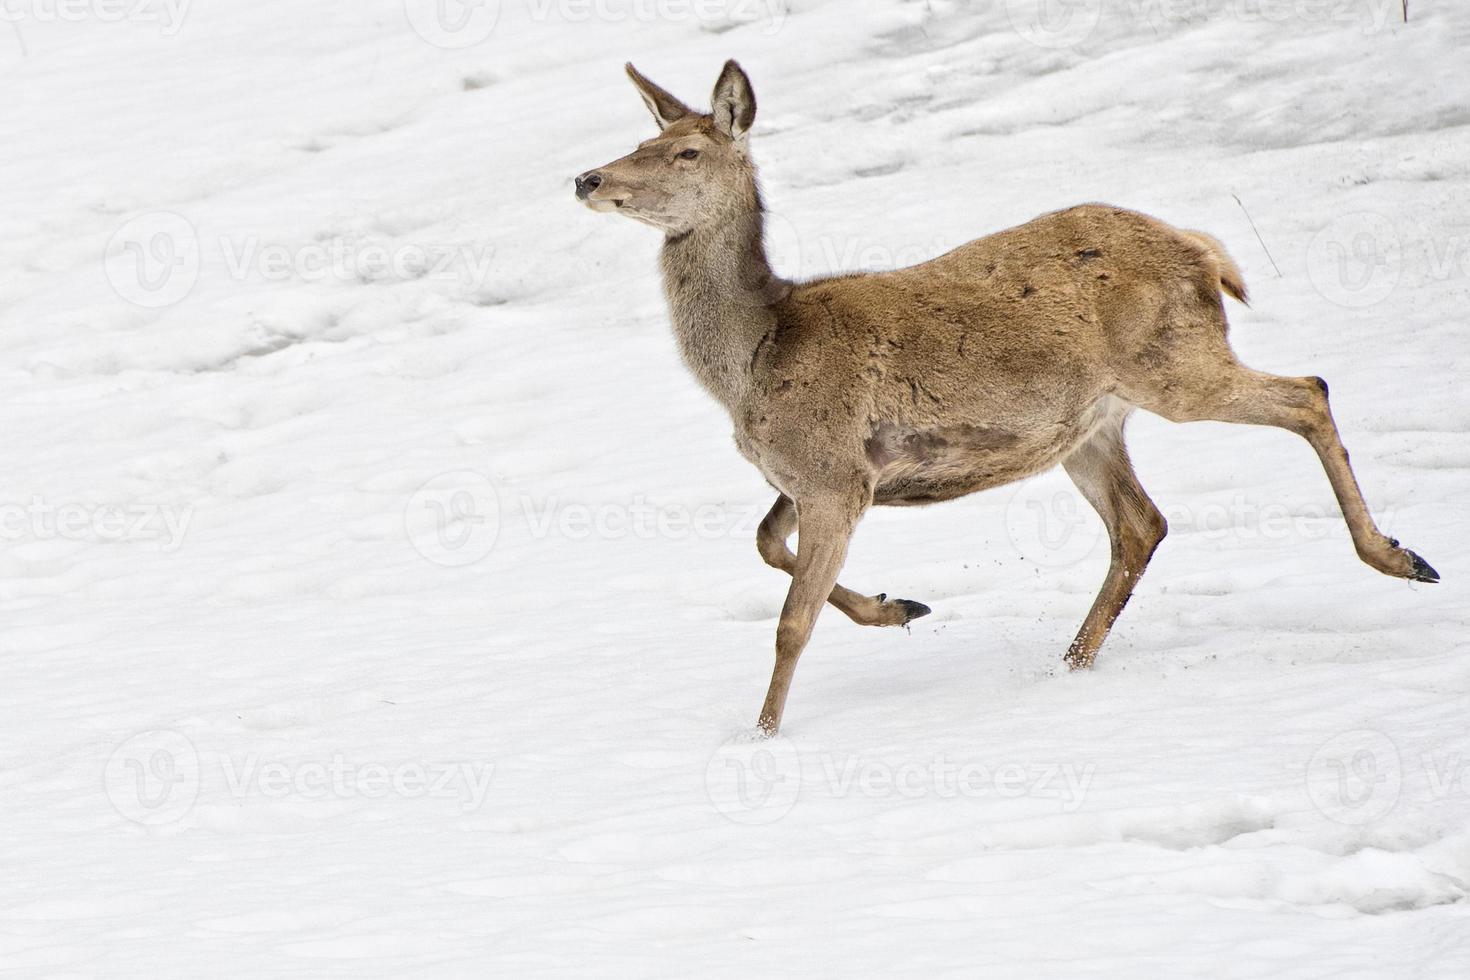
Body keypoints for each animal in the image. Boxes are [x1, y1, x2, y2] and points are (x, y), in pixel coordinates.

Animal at [570, 59, 1434, 734]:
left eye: (684, 150)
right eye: (640, 142)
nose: (588, 177)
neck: (754, 357)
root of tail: (1203, 252)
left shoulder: (834, 471)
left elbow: (791, 623)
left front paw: (763, 735)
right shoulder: (824, 474)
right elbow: (762, 543)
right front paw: (901, 605)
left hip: (1174, 365)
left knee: (1307, 392)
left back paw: (1400, 557)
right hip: (1091, 426)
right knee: (1142, 523)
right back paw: (1069, 665)